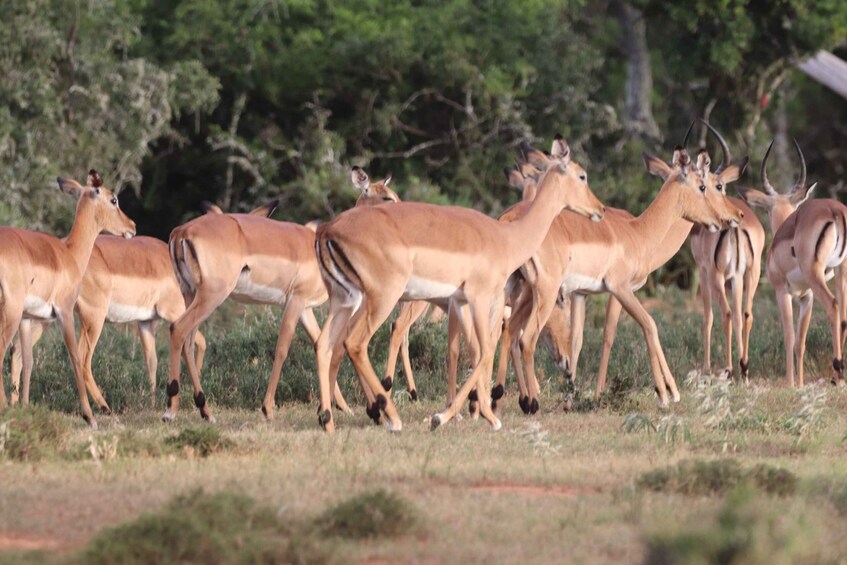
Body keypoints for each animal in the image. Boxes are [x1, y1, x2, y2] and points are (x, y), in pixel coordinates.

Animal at [0, 171, 136, 428]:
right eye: (113, 199)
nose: (132, 226)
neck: (70, 253)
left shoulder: (27, 317)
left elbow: (27, 359)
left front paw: (24, 408)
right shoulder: (64, 312)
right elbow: (75, 358)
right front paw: (89, 417)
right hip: (10, 312)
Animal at [740, 139, 844, 386]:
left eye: (767, 209)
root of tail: (834, 210)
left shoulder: (783, 292)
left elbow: (789, 337)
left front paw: (789, 383)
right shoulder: (807, 297)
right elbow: (800, 342)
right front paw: (800, 383)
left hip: (817, 276)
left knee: (834, 306)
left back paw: (837, 370)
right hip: (841, 271)